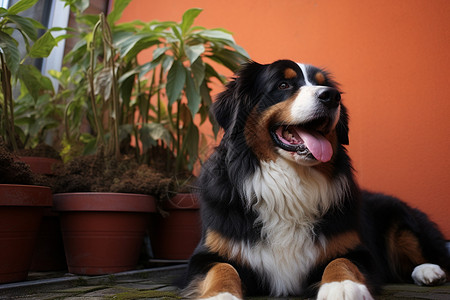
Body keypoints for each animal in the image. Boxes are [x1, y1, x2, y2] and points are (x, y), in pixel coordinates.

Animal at [180, 59, 450, 298]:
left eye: (323, 84)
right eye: (283, 85)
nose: (332, 96)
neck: (290, 186)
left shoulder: (356, 249)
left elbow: (341, 261)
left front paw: (342, 287)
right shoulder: (207, 254)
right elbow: (222, 269)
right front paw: (221, 295)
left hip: (399, 217)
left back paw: (429, 271)